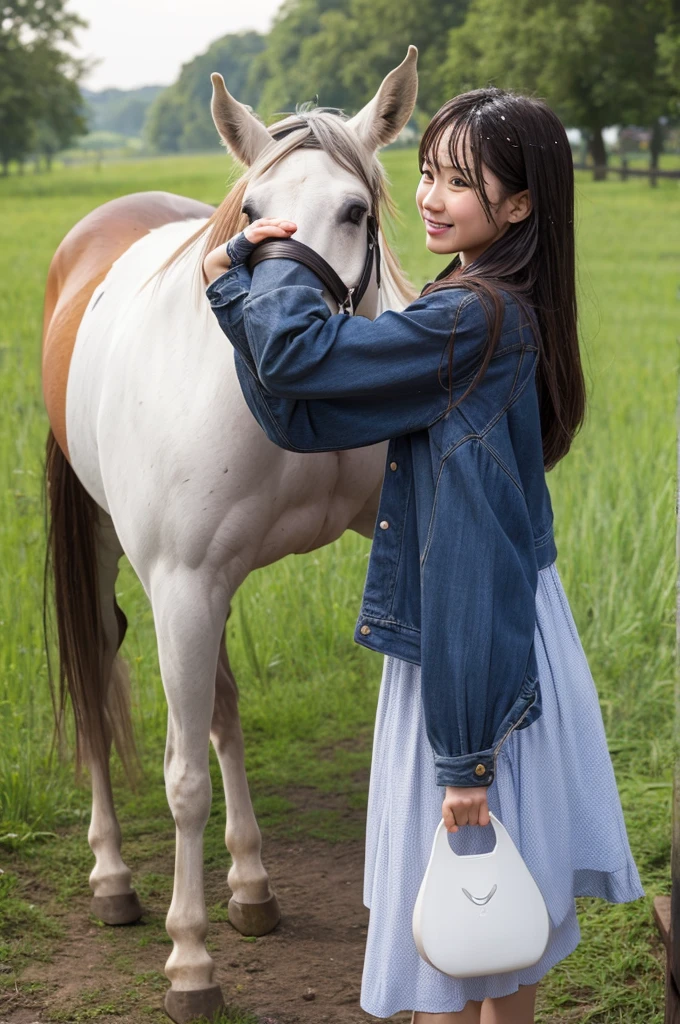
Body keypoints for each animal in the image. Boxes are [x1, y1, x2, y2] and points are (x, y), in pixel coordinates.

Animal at [41, 44, 419, 1019]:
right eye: (251, 212)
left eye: (355, 209)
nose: (289, 336)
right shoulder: (182, 584)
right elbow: (181, 782)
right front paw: (189, 962)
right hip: (128, 567)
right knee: (101, 685)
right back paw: (114, 879)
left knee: (220, 709)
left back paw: (251, 887)